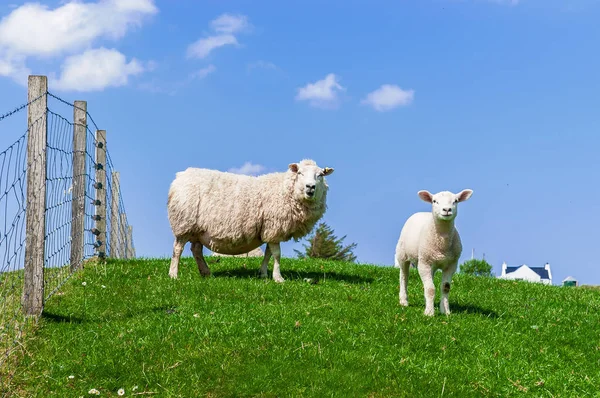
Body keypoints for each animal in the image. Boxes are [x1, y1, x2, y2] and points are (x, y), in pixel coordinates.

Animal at [166, 159, 336, 282]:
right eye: (300, 173)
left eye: (320, 175)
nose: (310, 187)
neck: (285, 190)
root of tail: (179, 177)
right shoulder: (274, 227)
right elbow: (277, 254)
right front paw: (278, 278)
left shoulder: (270, 230)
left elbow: (268, 254)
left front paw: (263, 273)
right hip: (184, 223)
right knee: (178, 249)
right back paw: (174, 275)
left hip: (198, 230)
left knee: (196, 250)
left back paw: (206, 272)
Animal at [394, 188, 474, 316]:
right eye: (434, 201)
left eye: (455, 201)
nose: (447, 210)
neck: (442, 245)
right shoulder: (425, 263)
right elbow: (431, 289)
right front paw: (429, 313)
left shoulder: (451, 264)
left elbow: (445, 287)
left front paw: (445, 311)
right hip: (403, 255)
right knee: (404, 276)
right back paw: (404, 300)